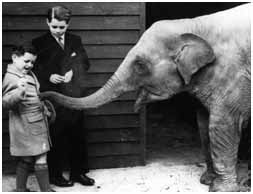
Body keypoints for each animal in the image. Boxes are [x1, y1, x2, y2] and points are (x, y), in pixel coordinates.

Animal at [40, 3, 250, 192]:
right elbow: (203, 123)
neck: (192, 24)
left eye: (140, 65)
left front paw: (221, 189)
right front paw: (207, 181)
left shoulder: (232, 76)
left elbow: (220, 126)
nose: (42, 98)